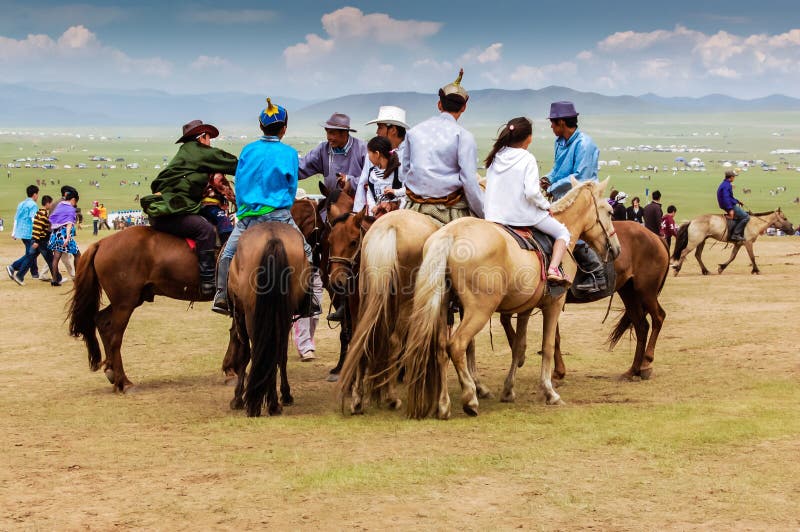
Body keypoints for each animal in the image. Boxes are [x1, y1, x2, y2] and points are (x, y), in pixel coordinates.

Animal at [404, 179, 620, 420]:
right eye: (609, 211)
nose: (616, 249)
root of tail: (450, 234)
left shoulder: (525, 308)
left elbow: (518, 345)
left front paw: (508, 390)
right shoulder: (553, 305)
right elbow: (547, 345)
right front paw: (550, 392)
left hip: (443, 308)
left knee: (441, 348)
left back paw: (443, 405)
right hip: (479, 310)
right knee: (457, 345)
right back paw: (470, 398)